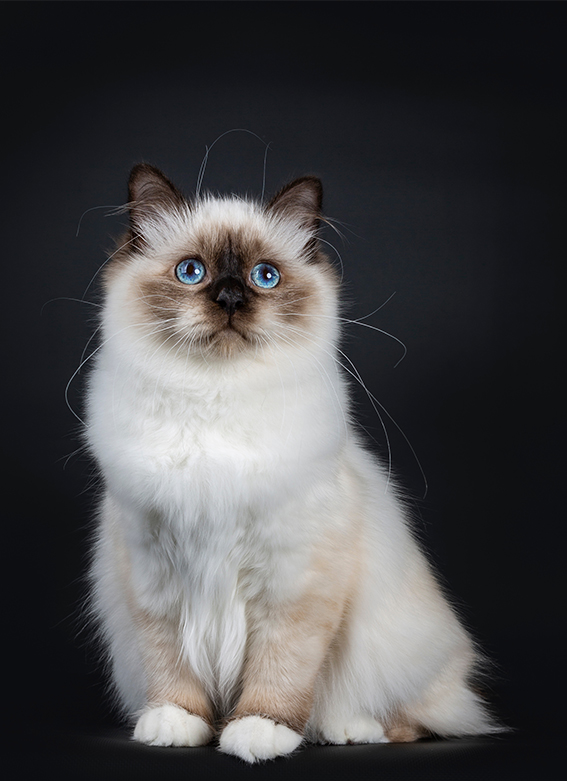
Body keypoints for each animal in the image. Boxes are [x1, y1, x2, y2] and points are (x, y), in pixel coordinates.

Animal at [84, 161, 502, 760]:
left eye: (264, 277)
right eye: (191, 272)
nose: (230, 297)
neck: (216, 405)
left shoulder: (295, 581)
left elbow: (280, 670)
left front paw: (259, 731)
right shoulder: (154, 573)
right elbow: (171, 663)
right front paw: (177, 724)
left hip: (408, 653)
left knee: (426, 718)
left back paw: (349, 729)